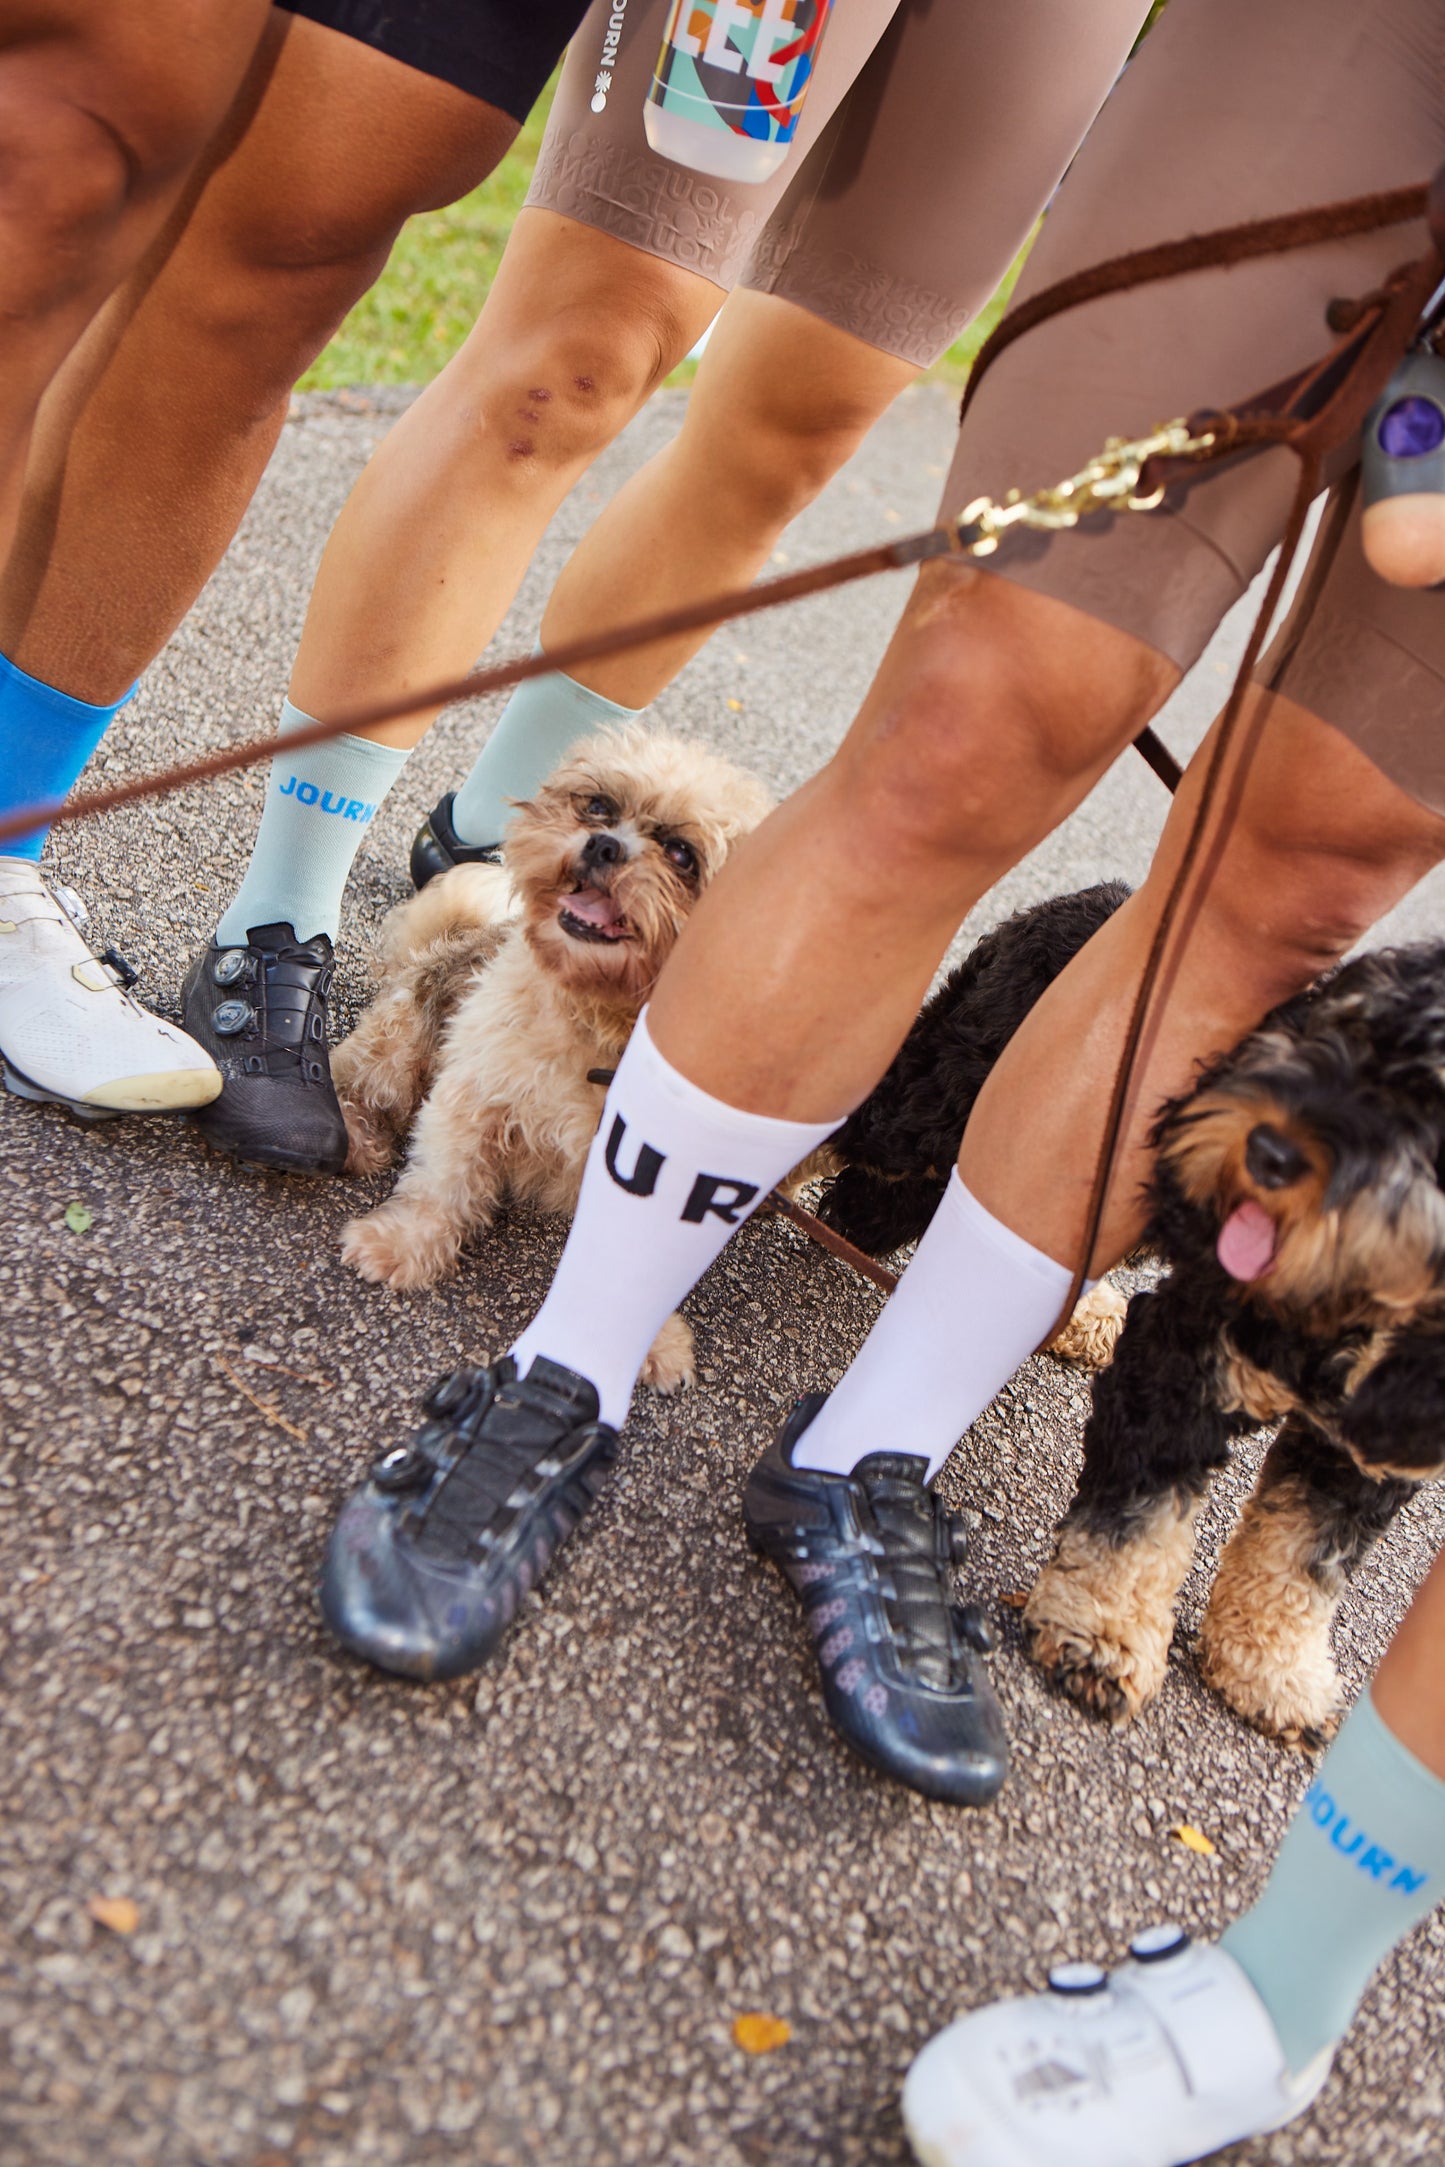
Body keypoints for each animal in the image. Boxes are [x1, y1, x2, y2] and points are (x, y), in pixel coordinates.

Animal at [331, 719, 775, 1378]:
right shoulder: (471, 1099)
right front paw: (405, 1243)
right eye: (600, 806)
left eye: (682, 855)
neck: (598, 1027)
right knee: (353, 1079)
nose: (604, 845)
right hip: (399, 1047)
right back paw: (351, 1134)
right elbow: (441, 1187)